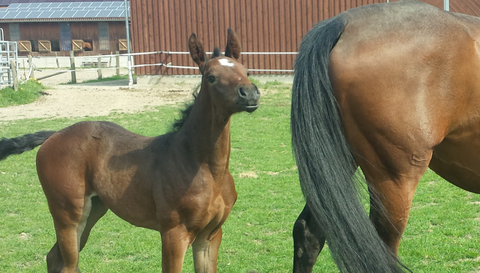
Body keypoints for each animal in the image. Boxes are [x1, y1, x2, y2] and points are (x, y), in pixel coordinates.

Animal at [0, 28, 258, 270]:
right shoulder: (174, 234)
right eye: (211, 77)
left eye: (245, 71)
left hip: (94, 210)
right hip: (68, 216)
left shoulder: (210, 236)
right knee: (68, 265)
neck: (203, 165)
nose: (250, 93)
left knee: (54, 258)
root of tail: (54, 134)